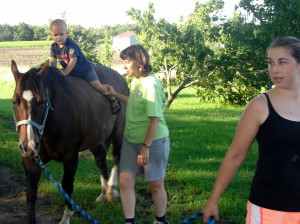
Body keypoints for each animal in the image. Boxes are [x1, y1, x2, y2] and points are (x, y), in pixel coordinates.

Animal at [10, 60, 127, 224]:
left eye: (42, 101)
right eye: (15, 101)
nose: (29, 145)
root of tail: (120, 78)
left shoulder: (71, 158)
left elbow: (67, 186)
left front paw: (66, 217)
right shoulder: (31, 161)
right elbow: (31, 192)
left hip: (118, 132)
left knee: (117, 155)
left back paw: (111, 189)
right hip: (95, 136)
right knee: (100, 157)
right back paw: (103, 193)